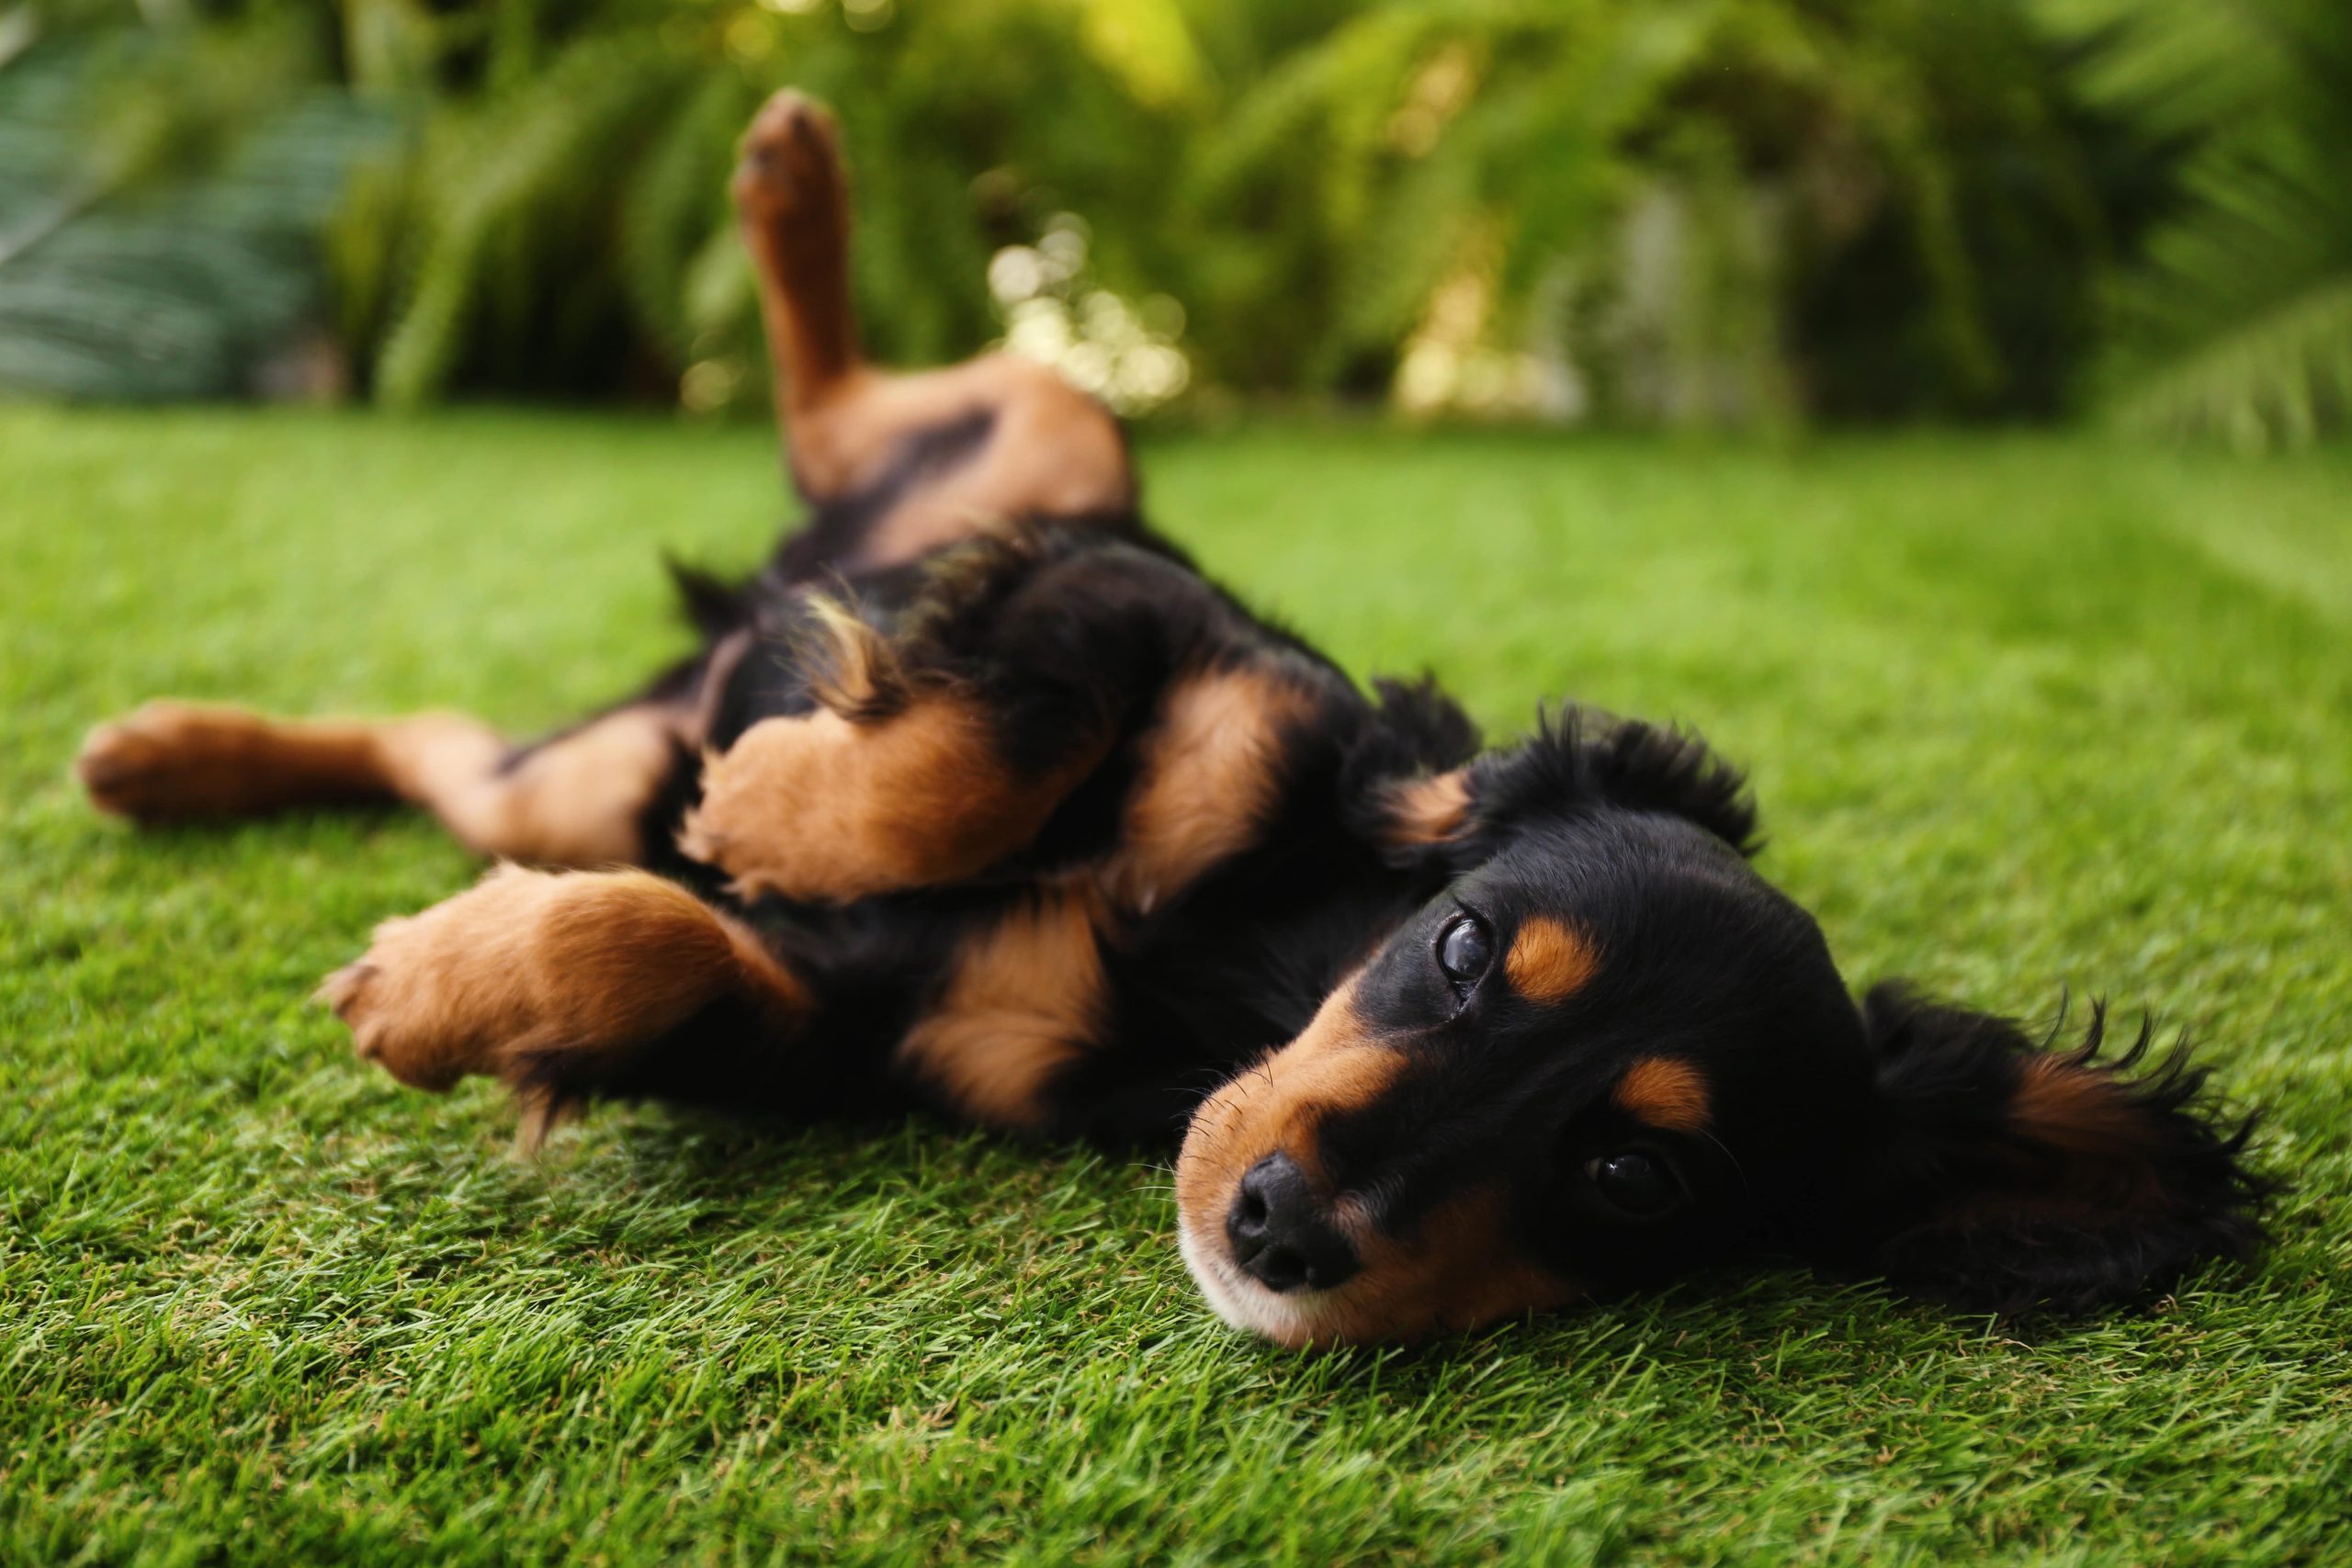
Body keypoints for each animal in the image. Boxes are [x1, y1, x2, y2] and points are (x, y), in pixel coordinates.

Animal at [83, 92, 2267, 1344]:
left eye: (1635, 1181)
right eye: (1460, 947)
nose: (1281, 1222)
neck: (1237, 971)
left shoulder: (848, 1037)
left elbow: (659, 950)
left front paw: (440, 983)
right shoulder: (1140, 618)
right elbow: (978, 746)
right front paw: (778, 803)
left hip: (566, 778)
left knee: (448, 743)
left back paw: (168, 760)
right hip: (1067, 435)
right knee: (875, 413)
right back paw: (791, 185)